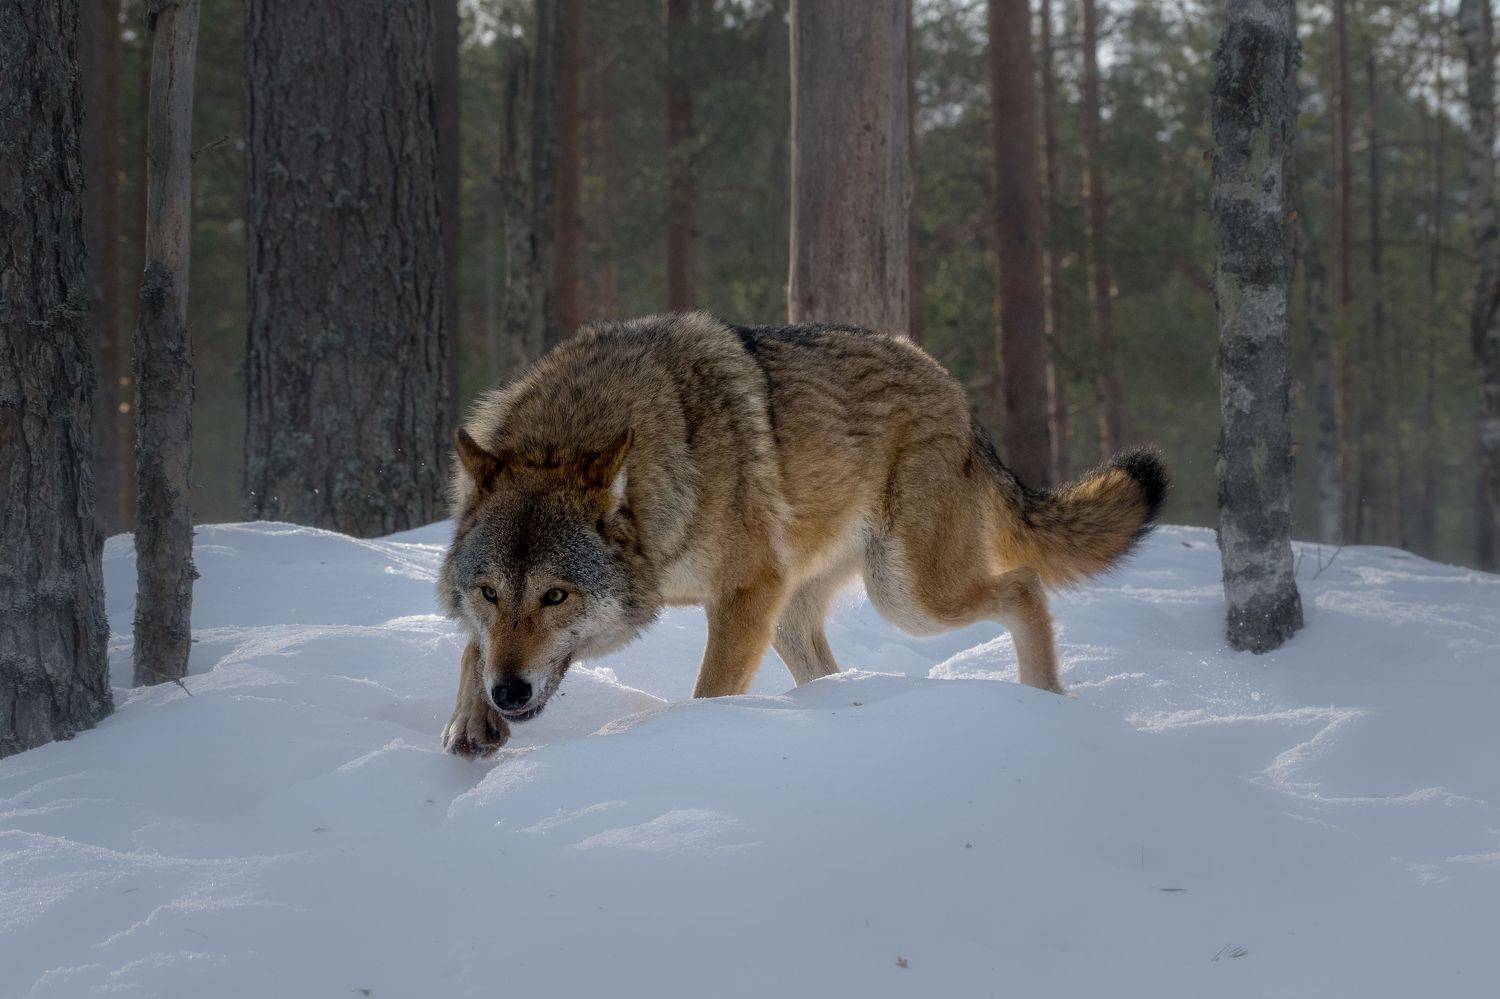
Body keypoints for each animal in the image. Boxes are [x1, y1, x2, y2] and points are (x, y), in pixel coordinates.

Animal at [438, 312, 1166, 757]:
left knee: (1024, 586)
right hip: (803, 616)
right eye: (490, 593)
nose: (510, 693)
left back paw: (1043, 704)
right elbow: (471, 648)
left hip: (907, 596)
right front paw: (469, 718)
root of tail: (955, 390)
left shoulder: (745, 593)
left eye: (556, 596)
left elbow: (710, 692)